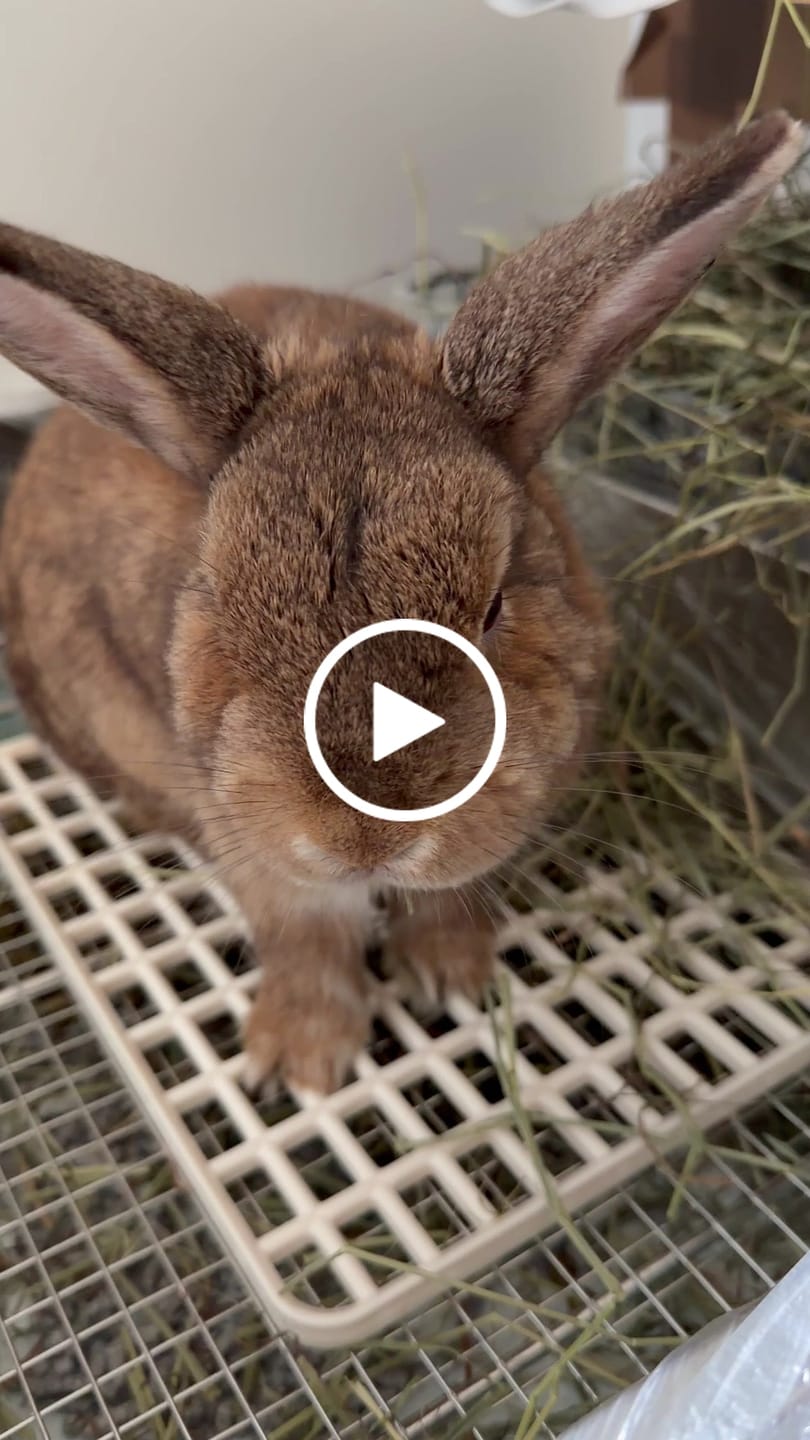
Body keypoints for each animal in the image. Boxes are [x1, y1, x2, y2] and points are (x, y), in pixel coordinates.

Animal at [0, 113, 801, 1093]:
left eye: (495, 606)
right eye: (221, 602)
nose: (364, 840)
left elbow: (446, 896)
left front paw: (453, 977)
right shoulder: (245, 829)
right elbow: (306, 931)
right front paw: (301, 1060)